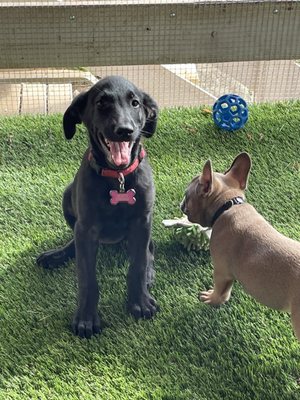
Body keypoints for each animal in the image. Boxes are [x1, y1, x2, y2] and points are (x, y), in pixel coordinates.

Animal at [37, 75, 159, 338]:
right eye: (101, 103)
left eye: (135, 103)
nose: (125, 131)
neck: (118, 177)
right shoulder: (87, 227)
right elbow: (87, 277)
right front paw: (86, 317)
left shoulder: (142, 222)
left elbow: (137, 264)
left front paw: (140, 301)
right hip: (68, 197)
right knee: (74, 241)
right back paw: (56, 255)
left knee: (149, 251)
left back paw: (149, 273)